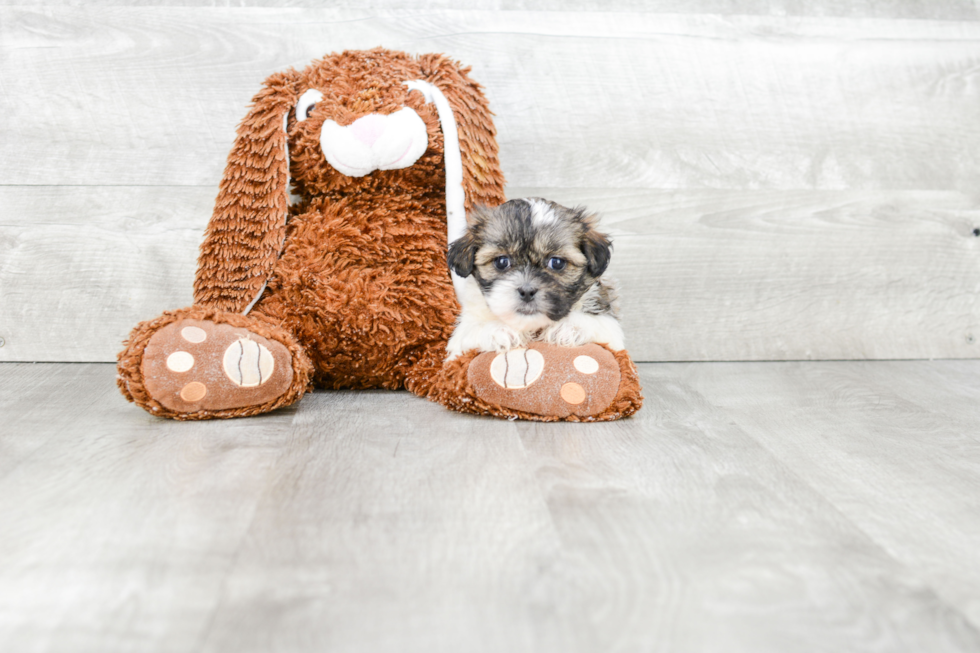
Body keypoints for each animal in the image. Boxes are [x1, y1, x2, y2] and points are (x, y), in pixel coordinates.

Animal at [446, 199, 624, 362]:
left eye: (557, 262)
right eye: (501, 262)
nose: (526, 291)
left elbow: (600, 324)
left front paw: (569, 326)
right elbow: (470, 332)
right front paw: (499, 330)